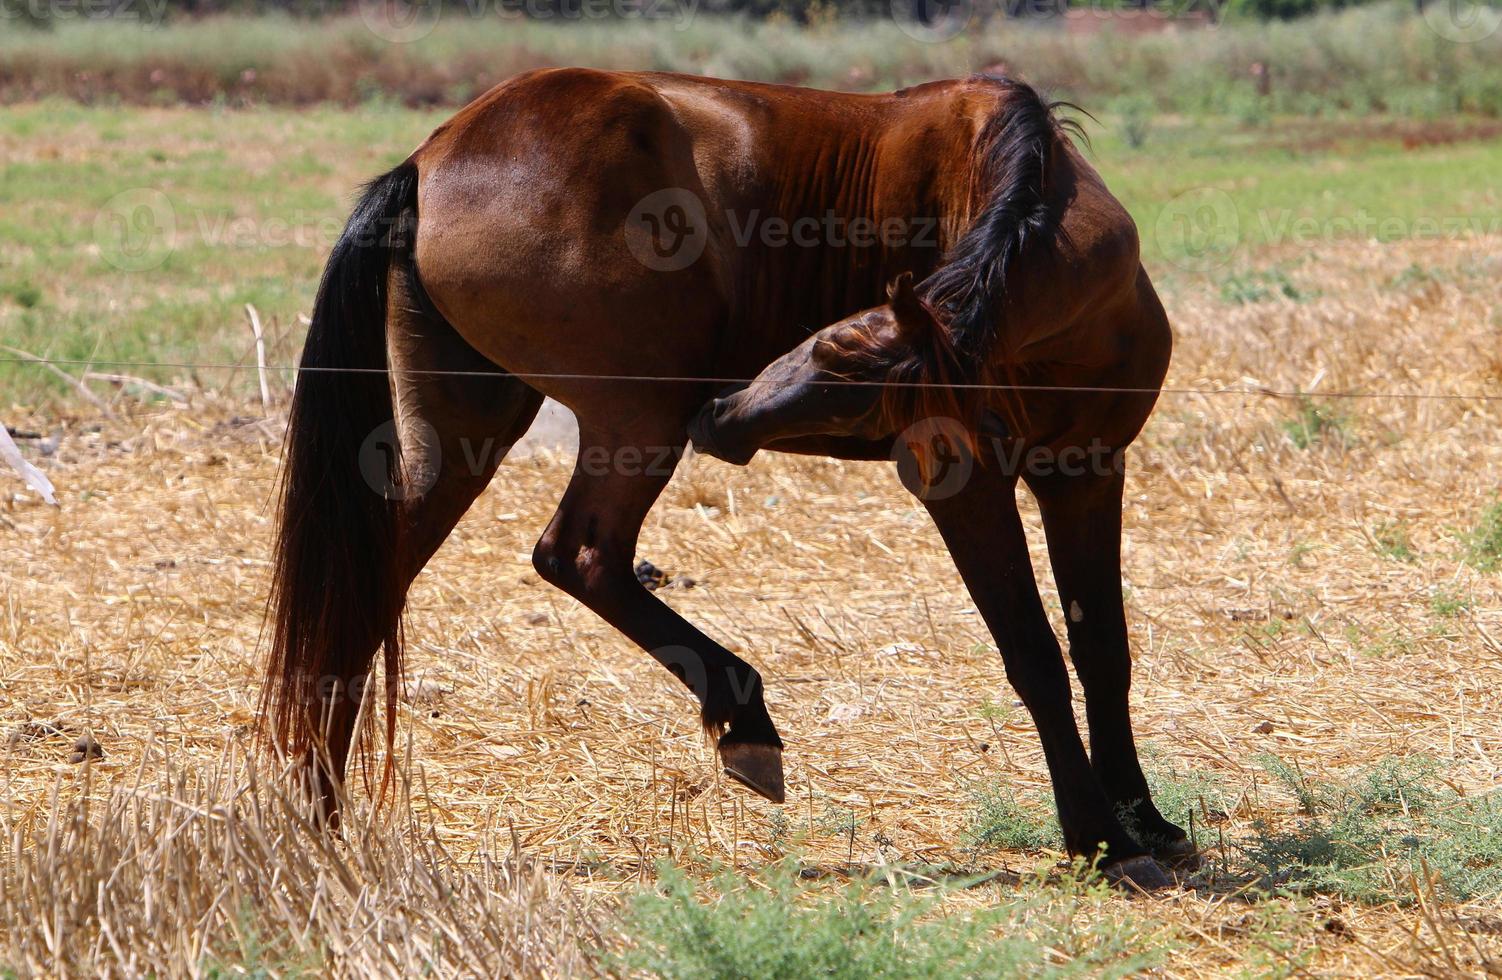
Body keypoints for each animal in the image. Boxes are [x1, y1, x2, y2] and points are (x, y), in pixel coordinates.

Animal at [264, 68, 1189, 889]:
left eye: (846, 377)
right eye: (823, 350)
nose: (720, 416)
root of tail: (431, 158)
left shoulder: (1087, 475)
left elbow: (1103, 648)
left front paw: (1143, 818)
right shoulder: (966, 488)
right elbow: (1033, 654)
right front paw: (1099, 837)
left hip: (473, 428)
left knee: (371, 585)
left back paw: (318, 813)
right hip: (634, 422)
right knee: (581, 557)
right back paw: (744, 716)